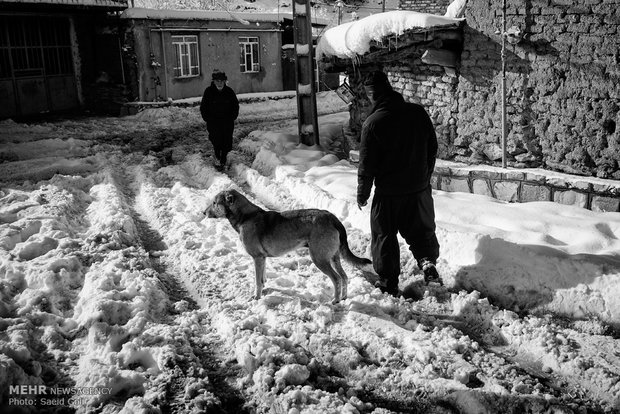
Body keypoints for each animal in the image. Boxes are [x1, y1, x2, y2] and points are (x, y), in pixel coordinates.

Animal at [206, 189, 370, 302]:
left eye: (214, 203)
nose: (203, 212)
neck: (246, 217)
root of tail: (332, 217)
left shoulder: (257, 258)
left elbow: (257, 281)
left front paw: (256, 298)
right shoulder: (262, 258)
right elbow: (262, 279)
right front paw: (264, 290)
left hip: (319, 258)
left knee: (336, 279)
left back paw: (335, 301)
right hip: (334, 257)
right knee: (344, 277)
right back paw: (343, 298)